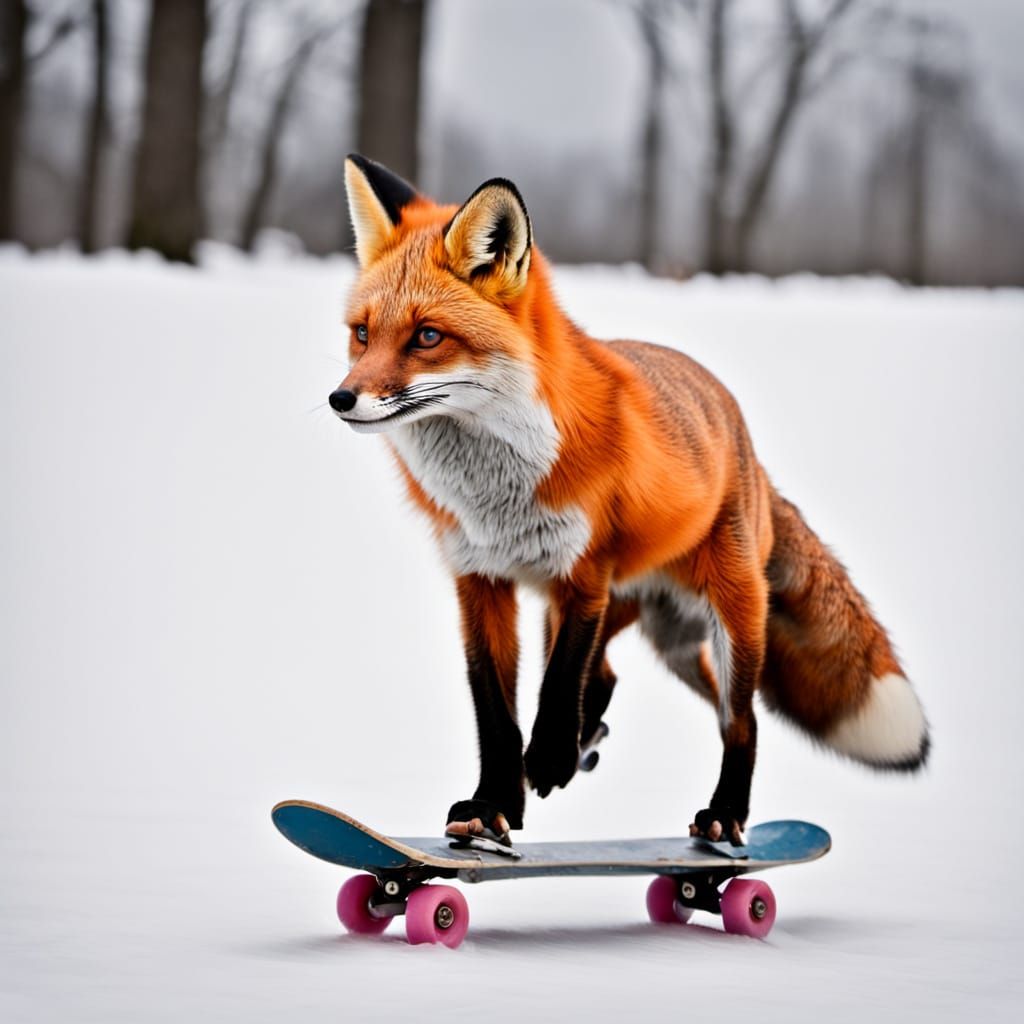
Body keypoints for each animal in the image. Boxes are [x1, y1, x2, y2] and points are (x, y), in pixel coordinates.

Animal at [328, 153, 929, 847]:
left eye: (427, 337)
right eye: (362, 334)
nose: (341, 399)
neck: (495, 494)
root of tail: (746, 445)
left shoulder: (585, 573)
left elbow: (559, 685)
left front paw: (547, 762)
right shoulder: (479, 579)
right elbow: (495, 712)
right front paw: (493, 806)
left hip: (731, 618)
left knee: (742, 721)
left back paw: (722, 814)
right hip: (636, 624)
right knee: (615, 678)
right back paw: (589, 744)